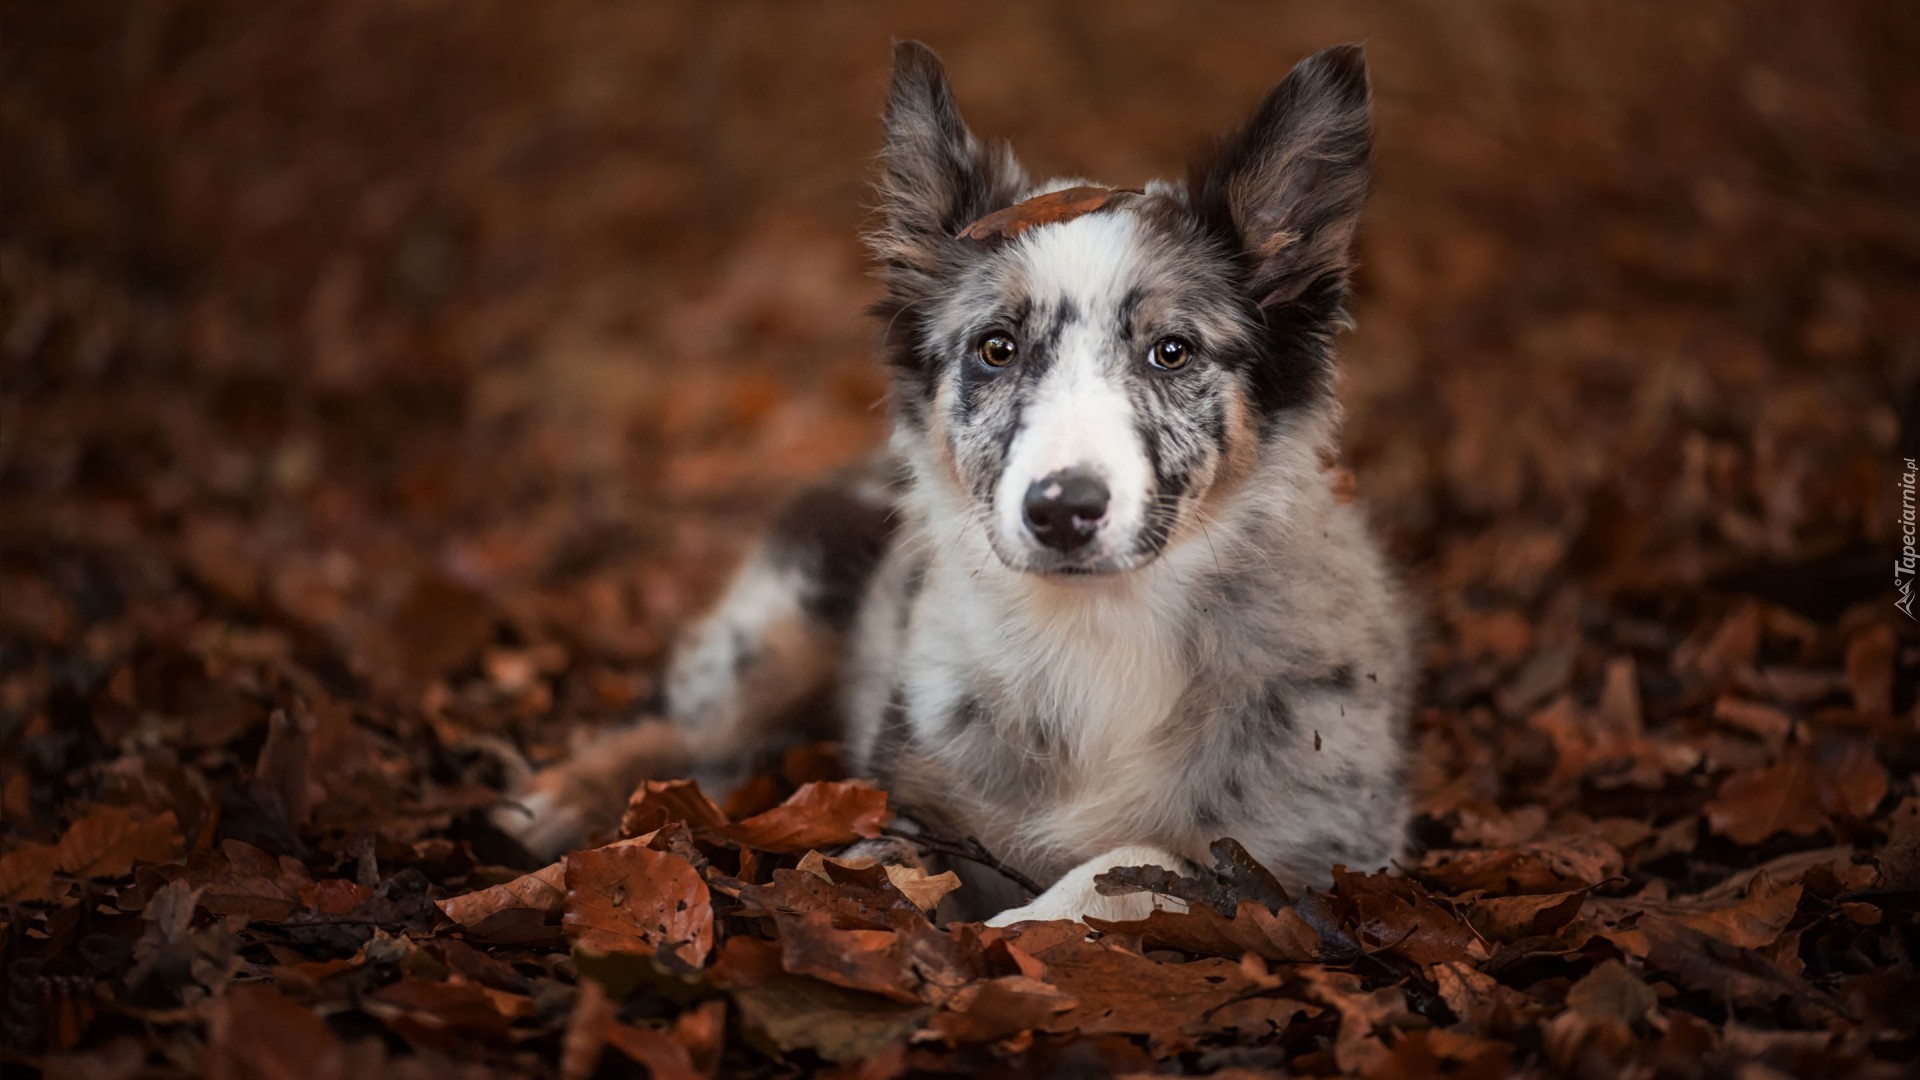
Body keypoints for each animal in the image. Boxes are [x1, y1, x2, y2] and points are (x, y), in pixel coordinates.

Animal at [503, 37, 1420, 922]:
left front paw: (1023, 930)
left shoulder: (1319, 862)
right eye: (996, 348)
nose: (1063, 511)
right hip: (782, 621)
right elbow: (874, 873)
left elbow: (1135, 860)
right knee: (688, 733)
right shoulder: (913, 801)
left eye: (1173, 351)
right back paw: (554, 803)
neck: (1096, 628)